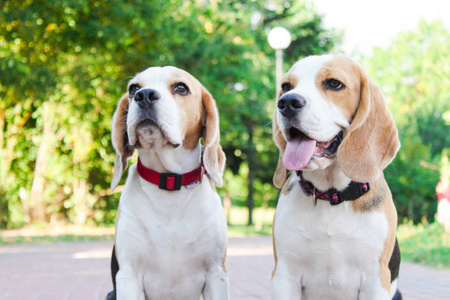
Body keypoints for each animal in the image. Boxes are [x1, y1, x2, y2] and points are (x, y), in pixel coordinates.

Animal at [107, 67, 229, 300]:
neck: (170, 182)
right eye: (133, 89)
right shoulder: (128, 276)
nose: (144, 95)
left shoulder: (216, 275)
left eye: (181, 88)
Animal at [272, 54, 402, 300]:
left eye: (334, 84)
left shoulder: (376, 279)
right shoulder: (285, 275)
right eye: (285, 86)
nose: (286, 102)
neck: (332, 196)